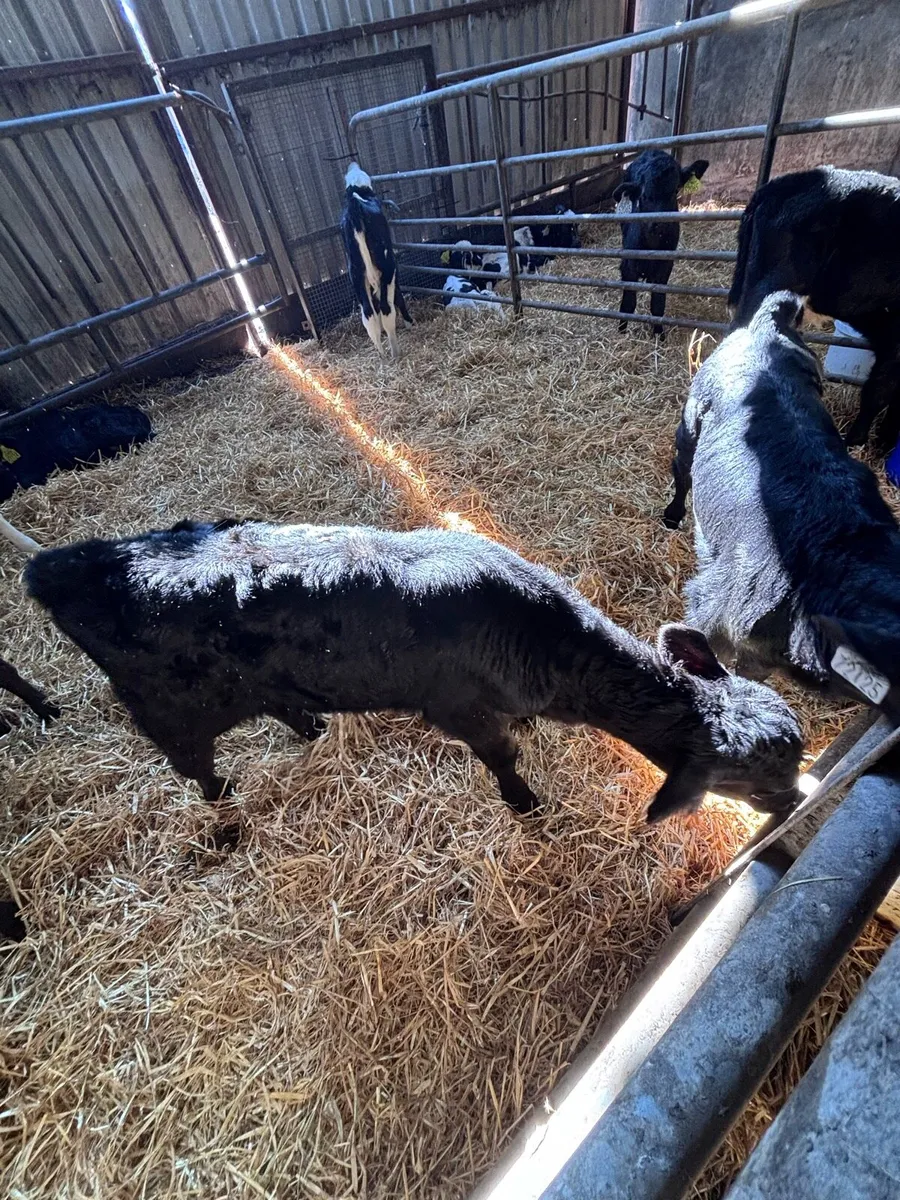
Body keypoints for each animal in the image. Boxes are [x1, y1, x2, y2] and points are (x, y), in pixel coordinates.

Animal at [26, 519, 802, 825]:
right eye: (751, 777)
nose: (796, 800)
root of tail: (65, 563)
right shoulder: (458, 708)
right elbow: (503, 755)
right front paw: (525, 803)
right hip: (169, 714)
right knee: (197, 770)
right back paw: (226, 812)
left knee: (278, 703)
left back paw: (309, 727)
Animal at [340, 162, 412, 358]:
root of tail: (355, 206)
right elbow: (398, 297)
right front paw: (410, 323)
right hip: (388, 267)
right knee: (387, 311)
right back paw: (395, 352)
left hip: (356, 275)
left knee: (369, 316)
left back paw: (382, 357)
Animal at [614, 150, 709, 337]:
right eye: (644, 195)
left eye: (676, 190)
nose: (661, 223)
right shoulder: (628, 265)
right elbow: (628, 303)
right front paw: (622, 331)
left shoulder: (665, 266)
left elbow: (658, 304)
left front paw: (659, 335)